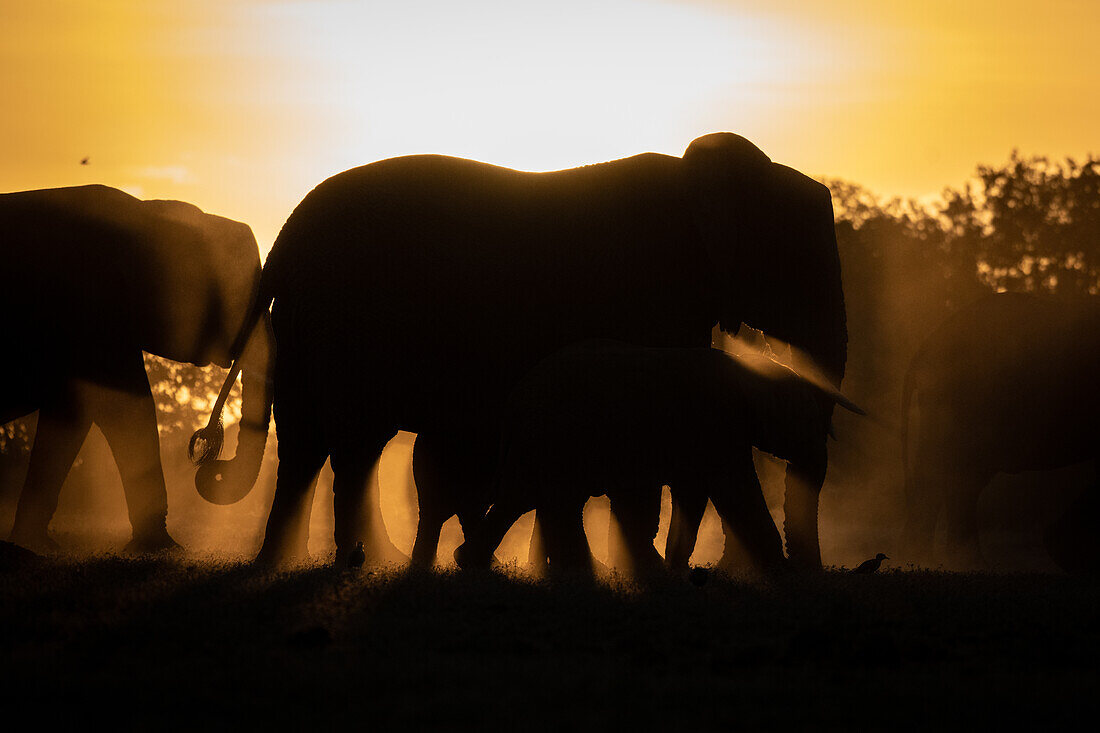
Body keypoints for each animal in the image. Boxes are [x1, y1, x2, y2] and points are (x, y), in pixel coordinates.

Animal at [0, 182, 272, 548]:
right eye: (241, 296)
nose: (209, 460)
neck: (149, 213)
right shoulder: (95, 308)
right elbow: (123, 410)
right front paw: (165, 549)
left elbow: (90, 412)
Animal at [451, 338, 862, 572]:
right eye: (809, 419)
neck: (751, 368)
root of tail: (516, 398)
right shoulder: (718, 427)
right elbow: (734, 490)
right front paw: (780, 574)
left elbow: (694, 496)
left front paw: (677, 572)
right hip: (557, 433)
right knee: (551, 500)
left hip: (543, 438)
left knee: (521, 497)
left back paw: (470, 565)